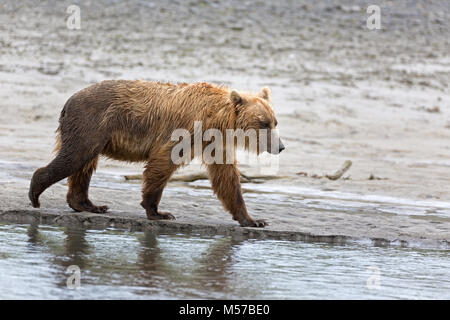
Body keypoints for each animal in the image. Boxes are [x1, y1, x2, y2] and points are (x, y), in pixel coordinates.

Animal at [29, 81, 284, 229]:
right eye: (263, 123)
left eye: (274, 121)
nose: (280, 146)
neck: (217, 120)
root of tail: (68, 101)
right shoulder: (185, 131)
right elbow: (162, 162)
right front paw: (159, 212)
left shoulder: (215, 143)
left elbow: (227, 179)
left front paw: (252, 219)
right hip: (91, 123)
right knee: (74, 157)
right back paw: (35, 193)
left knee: (84, 166)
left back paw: (88, 204)